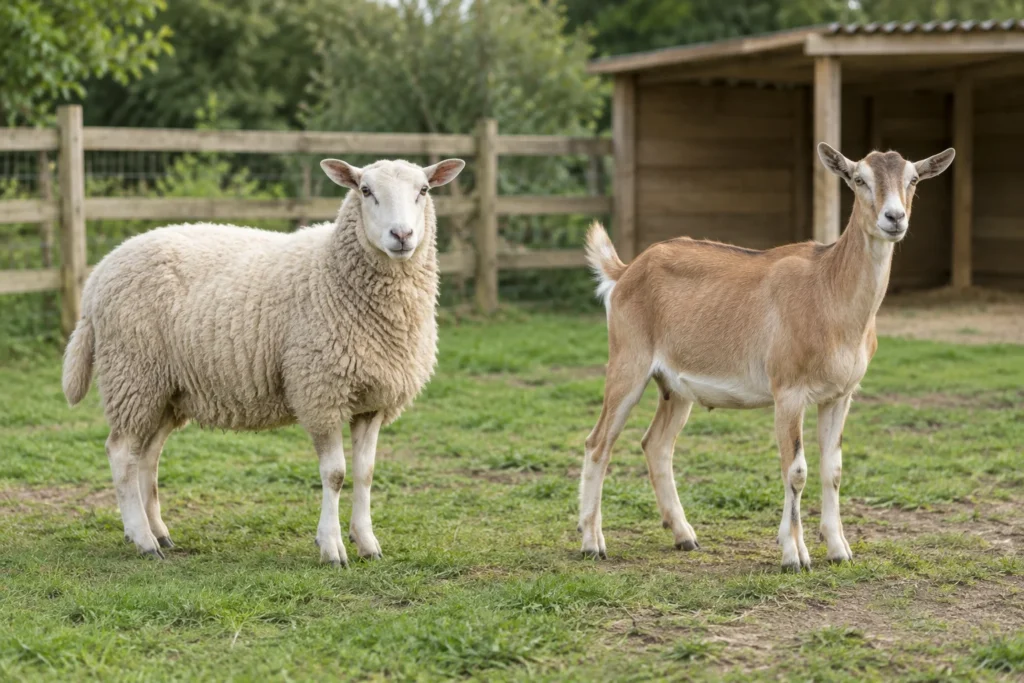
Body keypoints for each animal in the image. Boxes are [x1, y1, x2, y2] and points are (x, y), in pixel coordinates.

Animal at [62, 157, 465, 566]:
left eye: (424, 190)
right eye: (365, 191)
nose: (402, 235)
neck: (332, 272)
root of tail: (99, 275)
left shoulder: (373, 402)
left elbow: (365, 473)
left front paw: (366, 542)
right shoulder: (319, 392)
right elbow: (335, 474)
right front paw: (331, 546)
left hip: (165, 390)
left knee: (147, 456)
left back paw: (158, 531)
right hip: (132, 373)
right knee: (121, 453)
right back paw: (142, 538)